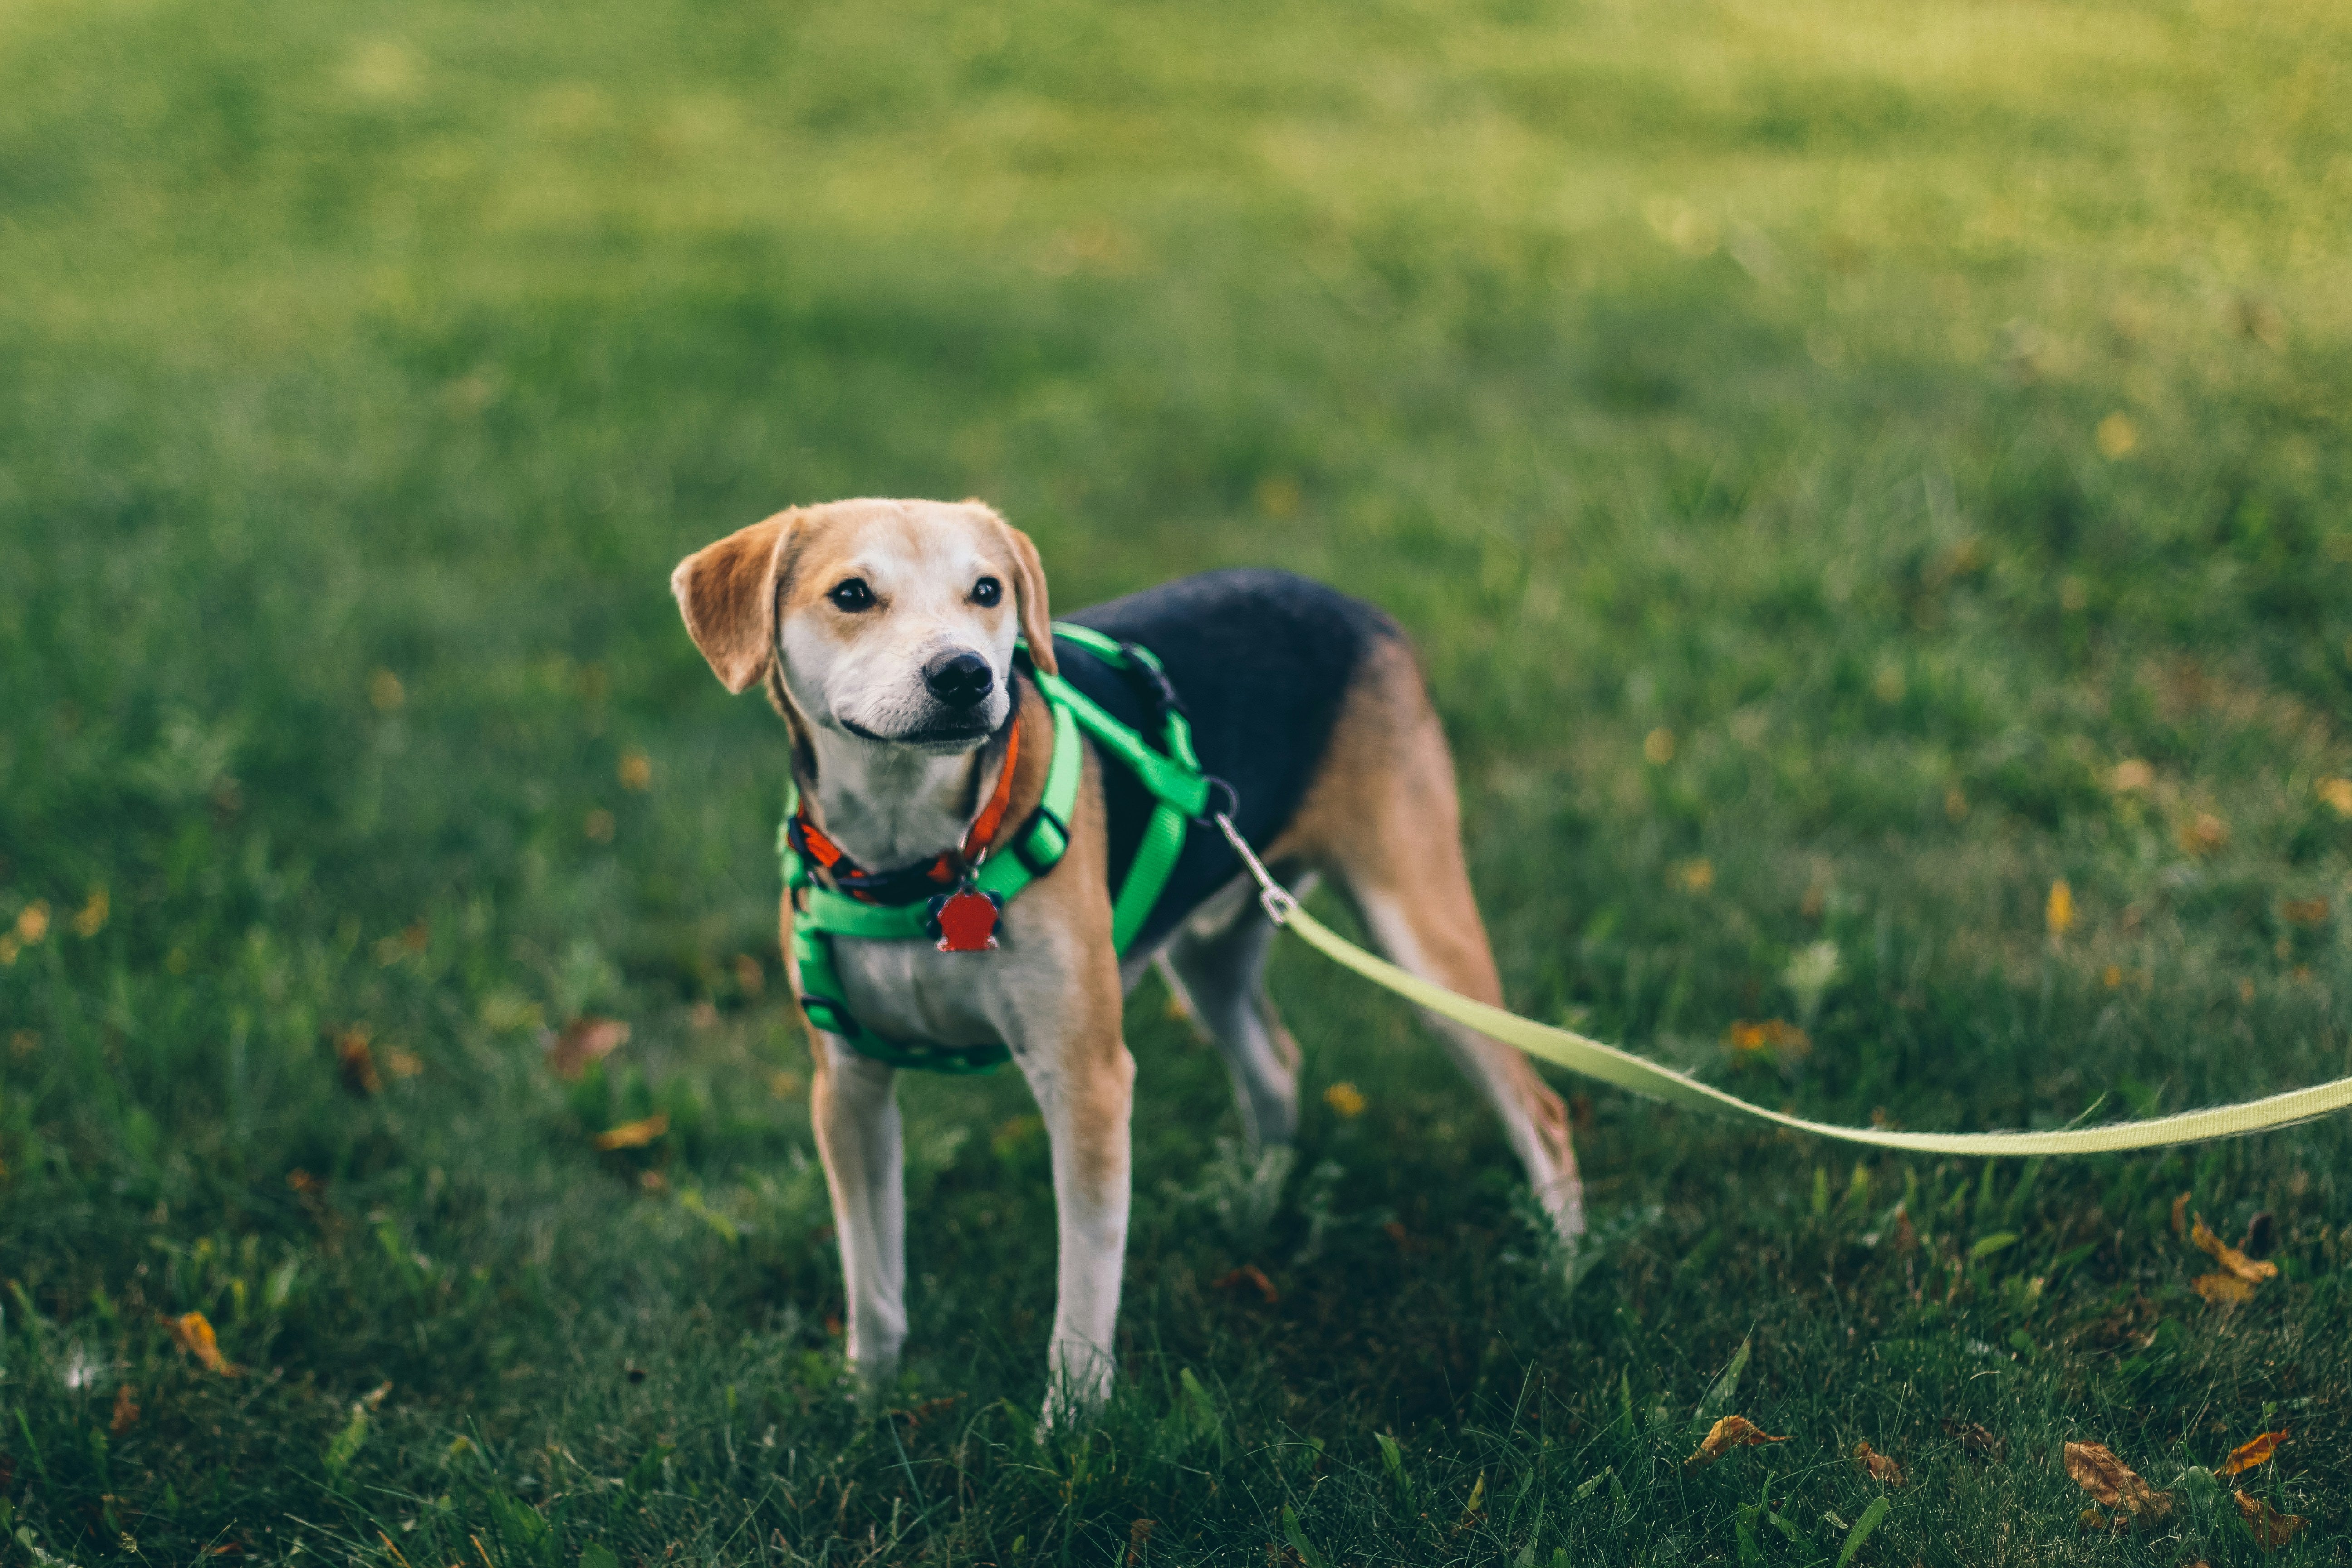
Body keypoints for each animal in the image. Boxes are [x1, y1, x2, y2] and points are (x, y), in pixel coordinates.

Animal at [668, 500, 1580, 1420]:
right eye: (851, 594)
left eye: (987, 591)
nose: (965, 675)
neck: (920, 859)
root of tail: (1348, 604)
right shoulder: (847, 1086)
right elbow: (871, 1274)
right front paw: (867, 1398)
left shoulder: (1087, 1080)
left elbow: (1085, 1281)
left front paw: (1071, 1424)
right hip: (1211, 956)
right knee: (1276, 1064)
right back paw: (1257, 1202)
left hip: (1419, 932)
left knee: (1539, 1109)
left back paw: (1563, 1268)